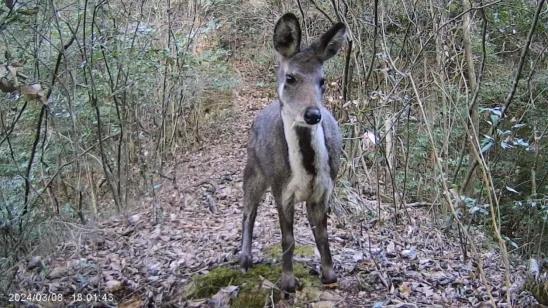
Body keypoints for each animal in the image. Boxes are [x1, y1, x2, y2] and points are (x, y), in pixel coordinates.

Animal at [239, 13, 344, 292]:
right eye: (291, 78)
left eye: (322, 81)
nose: (313, 114)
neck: (306, 171)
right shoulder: (281, 188)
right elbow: (288, 237)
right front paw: (287, 282)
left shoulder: (324, 189)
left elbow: (322, 233)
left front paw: (329, 274)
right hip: (253, 169)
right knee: (248, 210)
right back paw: (244, 258)